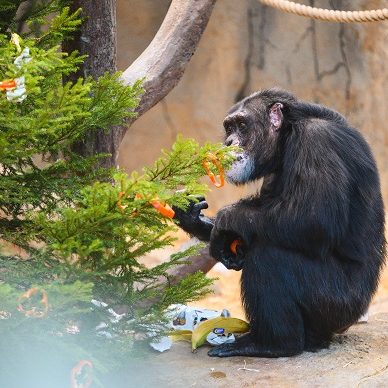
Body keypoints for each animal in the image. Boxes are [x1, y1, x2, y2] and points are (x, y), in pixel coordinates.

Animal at [174, 88, 386, 358]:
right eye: (228, 127)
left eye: (242, 125)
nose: (229, 141)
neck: (287, 138)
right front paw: (194, 217)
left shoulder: (318, 144)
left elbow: (314, 221)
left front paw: (225, 219)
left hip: (338, 303)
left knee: (270, 256)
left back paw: (270, 343)